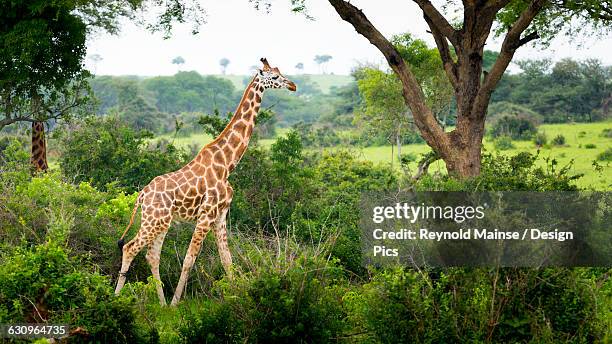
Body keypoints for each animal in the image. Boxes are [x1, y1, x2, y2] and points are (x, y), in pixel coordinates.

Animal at [115, 57, 296, 306]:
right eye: (275, 76)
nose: (293, 85)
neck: (227, 164)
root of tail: (142, 194)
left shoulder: (220, 215)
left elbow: (227, 259)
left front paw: (239, 297)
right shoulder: (206, 214)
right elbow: (189, 259)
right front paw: (176, 304)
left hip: (161, 221)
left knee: (152, 255)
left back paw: (161, 304)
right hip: (154, 221)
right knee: (130, 248)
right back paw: (116, 298)